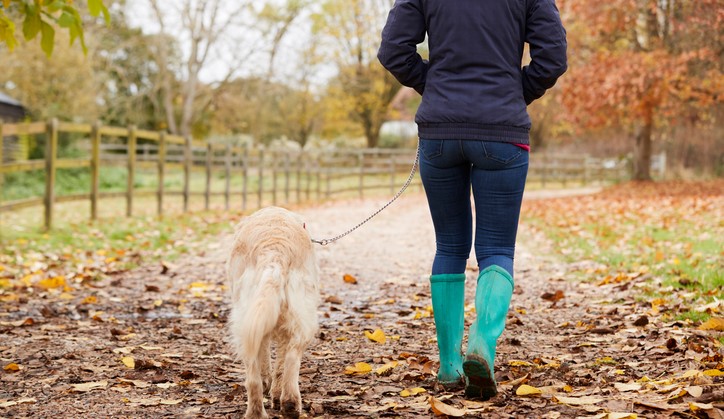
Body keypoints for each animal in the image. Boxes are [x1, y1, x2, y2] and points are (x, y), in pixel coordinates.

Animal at [225, 208, 318, 419]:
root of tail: (274, 251)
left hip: (246, 321)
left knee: (253, 376)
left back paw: (258, 412)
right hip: (303, 318)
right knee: (291, 358)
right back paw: (289, 403)